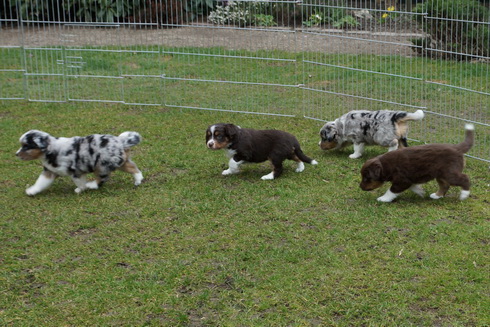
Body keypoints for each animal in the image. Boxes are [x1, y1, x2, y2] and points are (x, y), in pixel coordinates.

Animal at [16, 130, 144, 196]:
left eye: (26, 146)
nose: (16, 154)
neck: (50, 149)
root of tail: (120, 141)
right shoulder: (50, 171)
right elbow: (40, 182)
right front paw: (32, 191)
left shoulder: (76, 172)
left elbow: (80, 183)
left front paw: (81, 189)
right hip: (120, 162)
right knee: (133, 168)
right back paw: (138, 180)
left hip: (102, 165)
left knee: (102, 178)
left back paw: (91, 185)